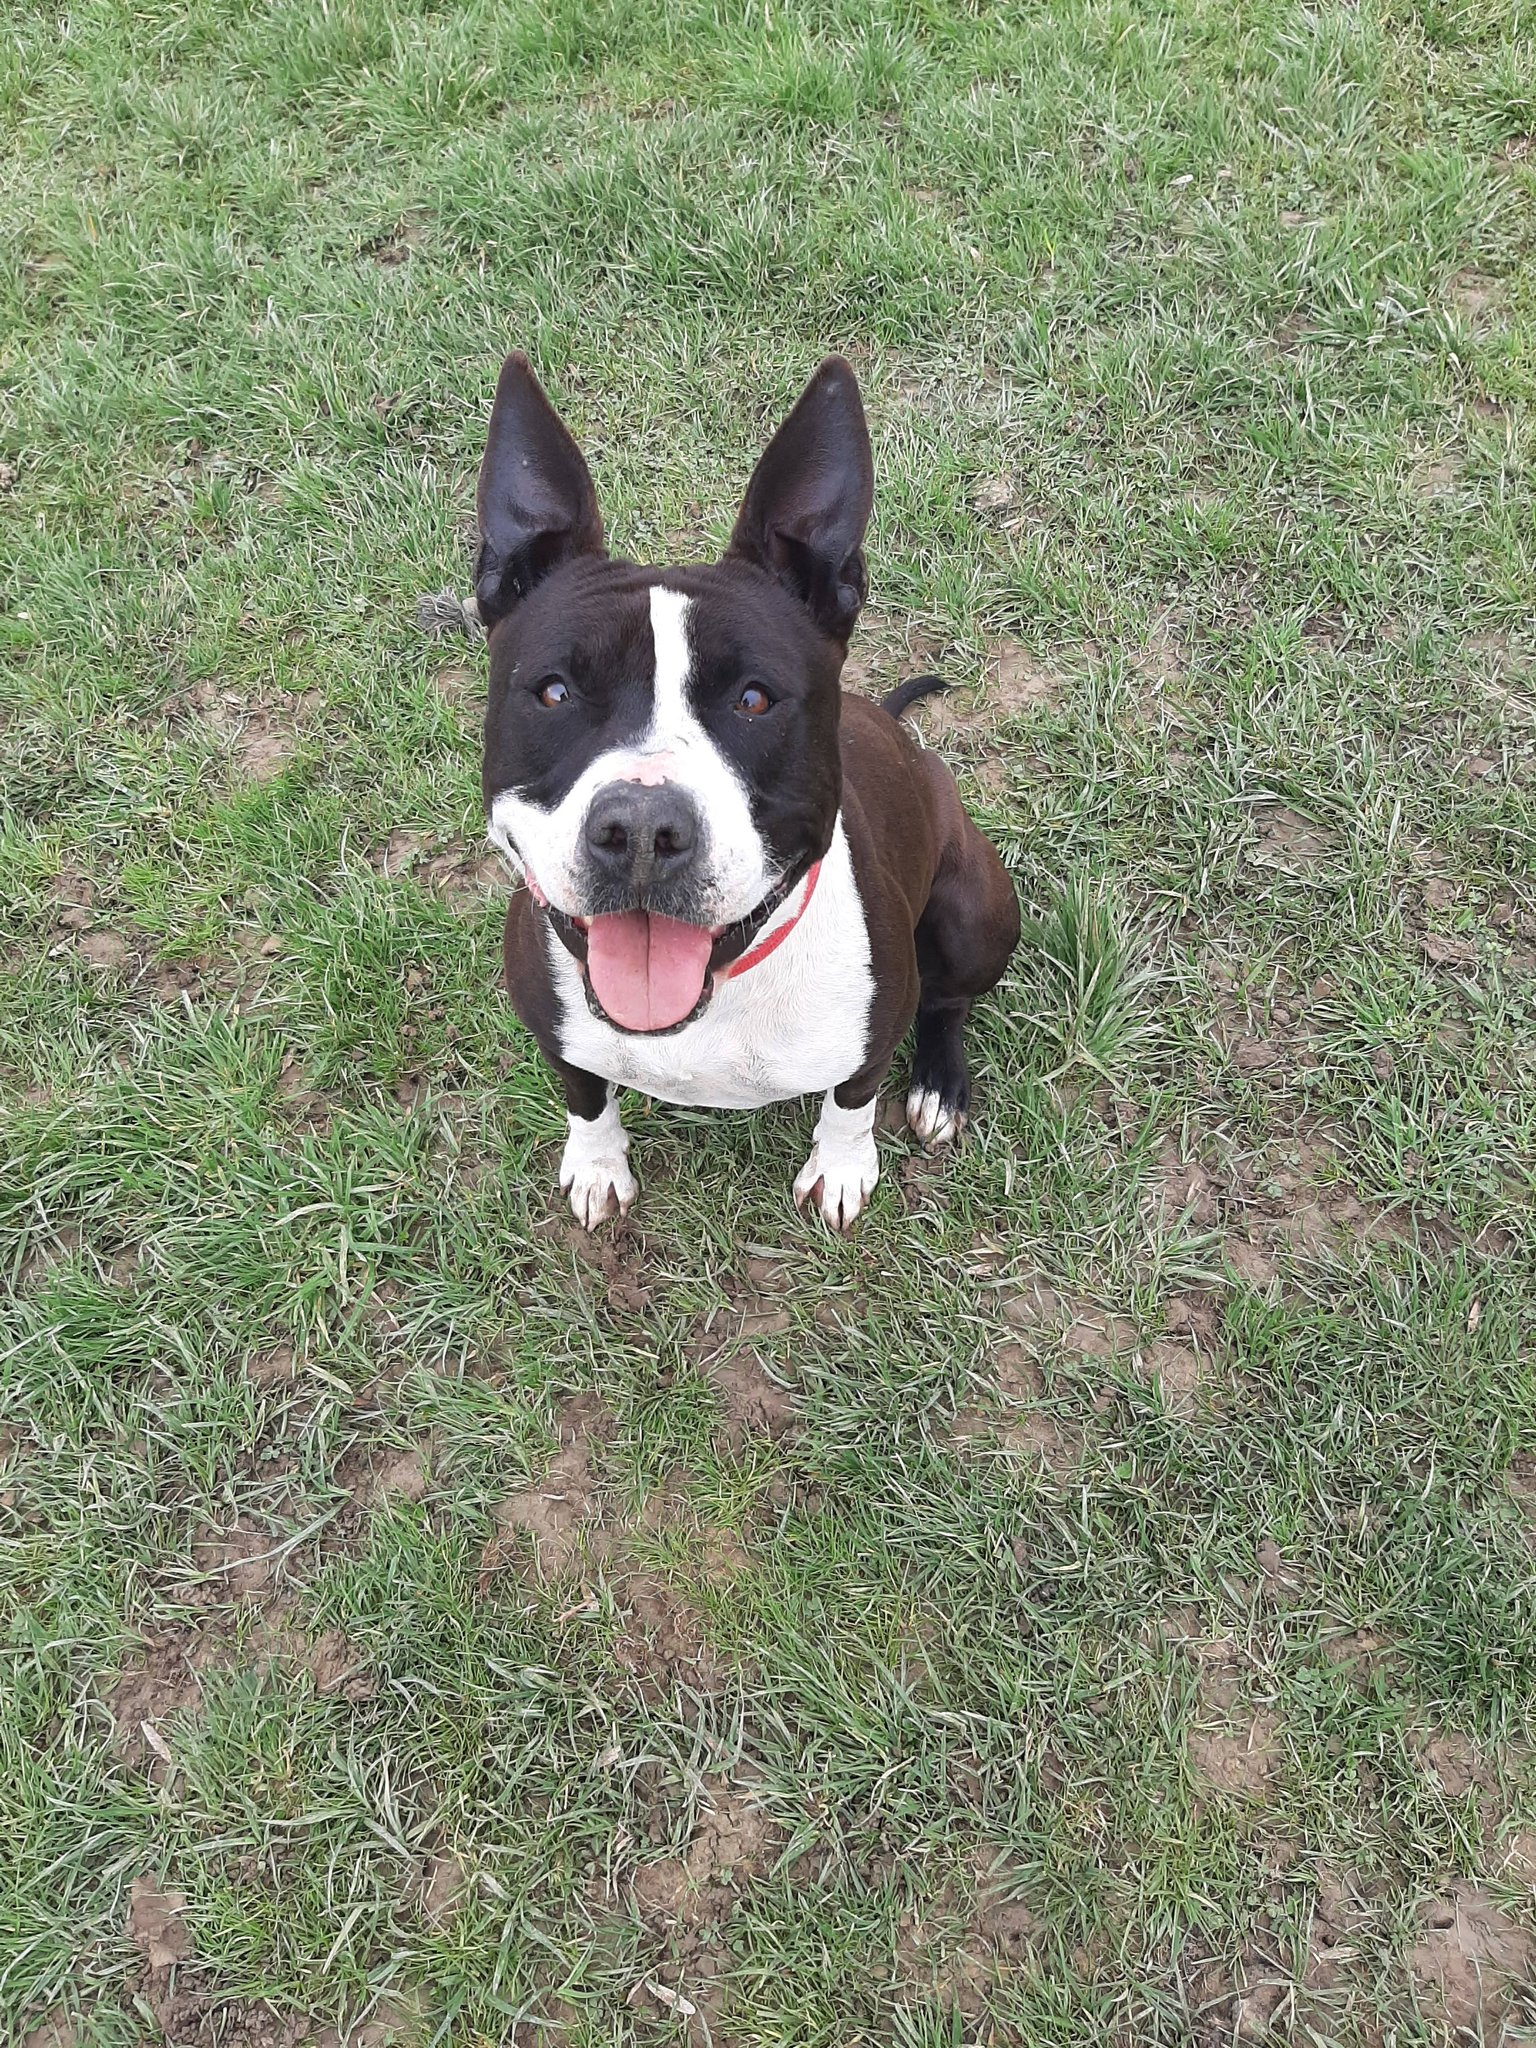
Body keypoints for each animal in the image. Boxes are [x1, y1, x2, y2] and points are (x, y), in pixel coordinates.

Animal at [477, 352, 1019, 1230]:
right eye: (554, 693)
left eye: (754, 700)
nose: (640, 828)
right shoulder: (556, 1034)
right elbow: (585, 1096)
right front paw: (596, 1164)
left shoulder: (870, 1038)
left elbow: (852, 1102)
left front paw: (842, 1169)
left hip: (976, 909)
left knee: (947, 1002)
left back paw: (938, 1086)